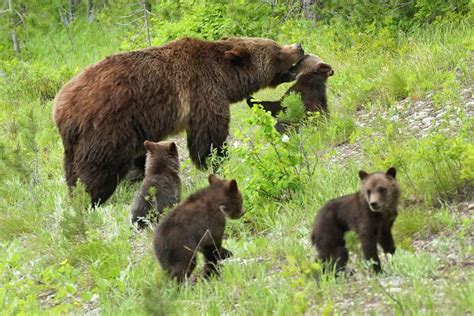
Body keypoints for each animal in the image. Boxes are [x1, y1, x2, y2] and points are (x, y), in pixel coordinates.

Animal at [51, 37, 304, 205]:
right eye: (277, 51)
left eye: (274, 42)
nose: (298, 46)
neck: (225, 76)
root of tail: (61, 107)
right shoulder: (203, 91)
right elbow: (209, 134)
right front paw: (215, 161)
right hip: (107, 125)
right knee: (97, 165)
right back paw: (92, 197)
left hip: (75, 141)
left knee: (72, 168)